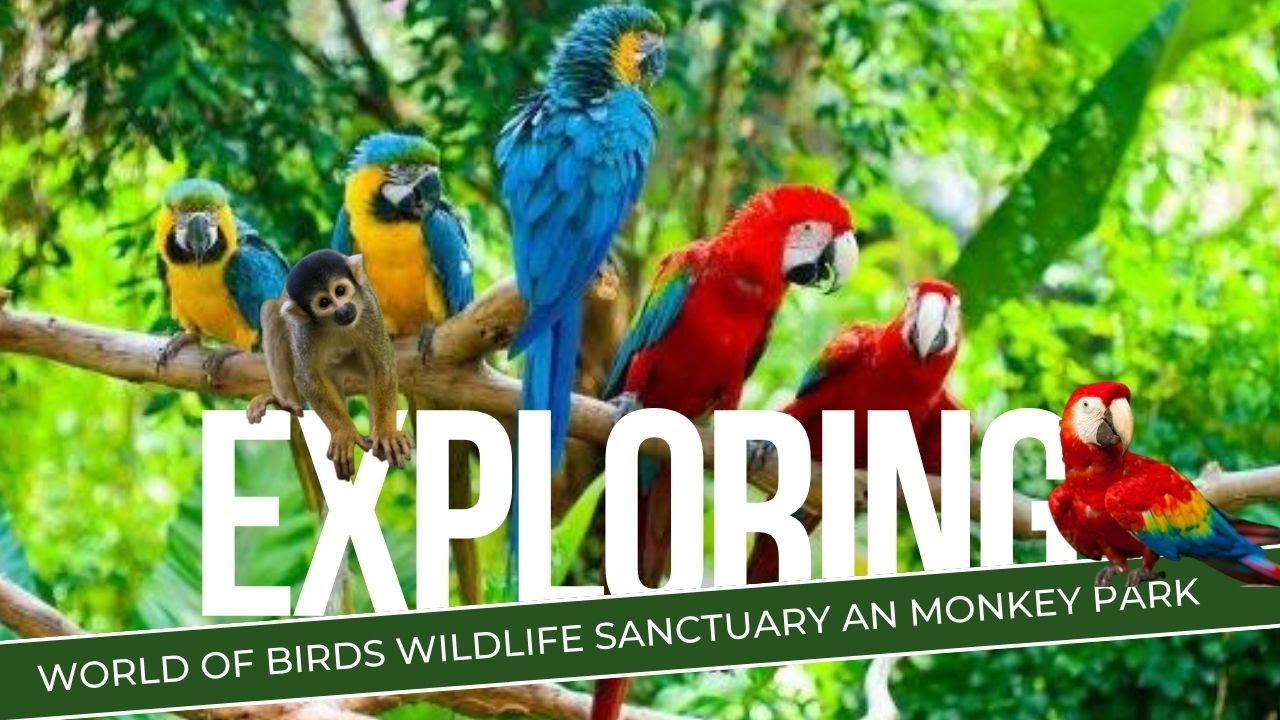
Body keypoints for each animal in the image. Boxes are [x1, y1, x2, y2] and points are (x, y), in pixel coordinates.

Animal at [246, 249, 414, 480]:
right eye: (324, 302)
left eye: (340, 291)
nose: (342, 310)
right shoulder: (305, 329)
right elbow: (307, 378)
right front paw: (344, 433)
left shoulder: (368, 307)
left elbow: (382, 364)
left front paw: (387, 433)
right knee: (271, 309)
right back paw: (285, 401)